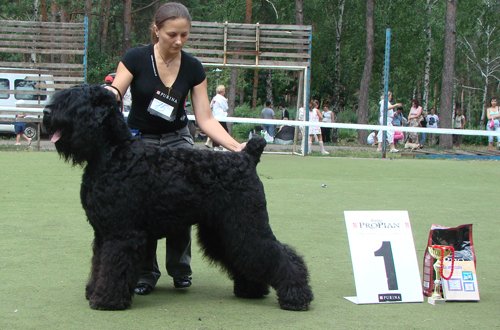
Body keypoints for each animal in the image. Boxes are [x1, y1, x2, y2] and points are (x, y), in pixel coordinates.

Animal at [44, 85, 312, 312]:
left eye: (73, 101)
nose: (46, 112)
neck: (113, 153)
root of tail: (247, 157)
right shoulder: (103, 233)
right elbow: (99, 263)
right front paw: (93, 291)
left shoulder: (121, 233)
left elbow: (113, 266)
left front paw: (106, 300)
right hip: (224, 229)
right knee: (246, 255)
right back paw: (252, 290)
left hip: (245, 223)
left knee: (277, 254)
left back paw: (296, 297)